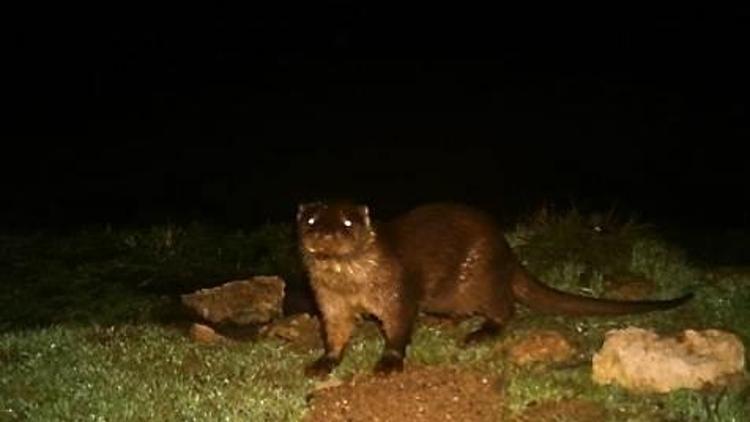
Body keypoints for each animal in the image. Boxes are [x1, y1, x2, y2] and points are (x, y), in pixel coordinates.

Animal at [296, 200, 696, 376]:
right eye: (312, 220)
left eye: (348, 222)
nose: (326, 233)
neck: (353, 284)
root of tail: (507, 251)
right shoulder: (330, 303)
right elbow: (335, 332)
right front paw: (324, 361)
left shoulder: (397, 291)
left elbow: (398, 327)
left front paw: (389, 362)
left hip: (480, 280)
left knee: (506, 309)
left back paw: (481, 332)